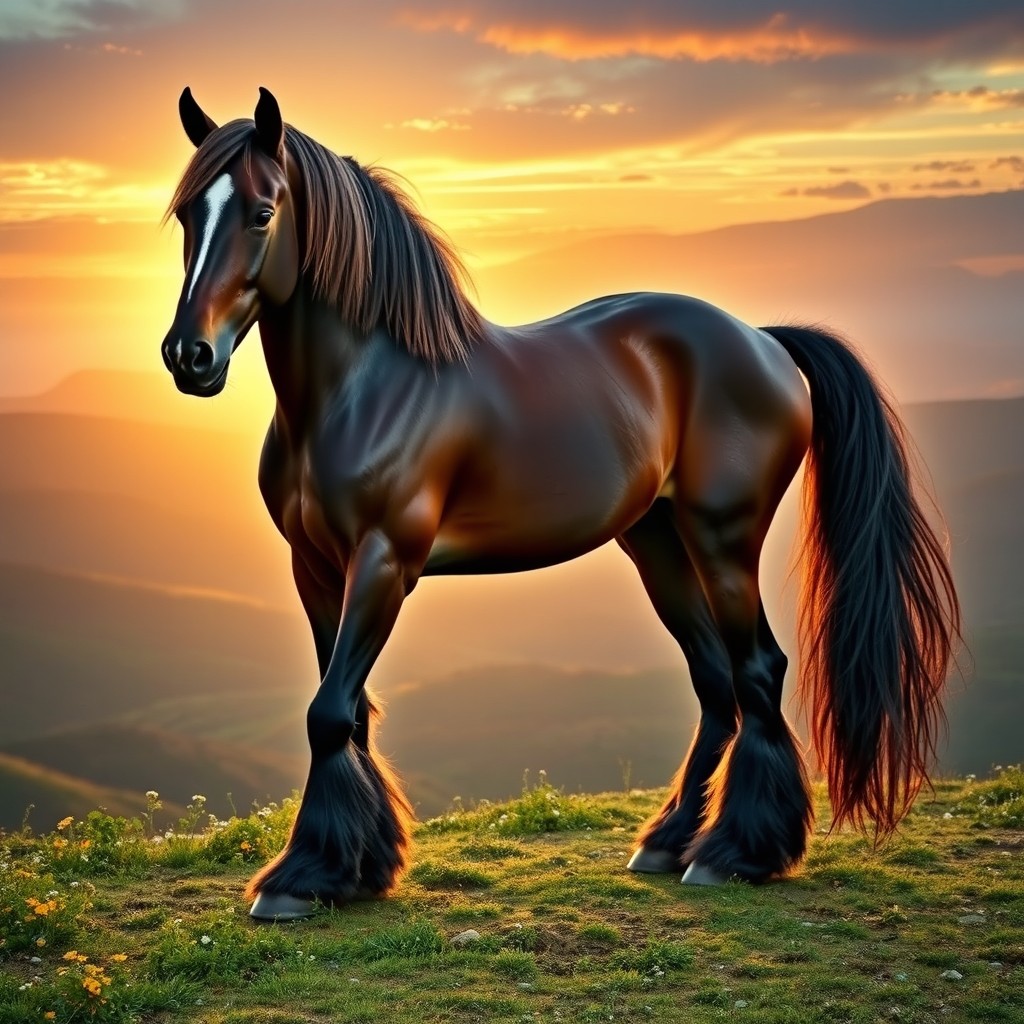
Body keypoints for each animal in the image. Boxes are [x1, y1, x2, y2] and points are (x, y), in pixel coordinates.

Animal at [160, 87, 960, 921]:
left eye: (262, 211)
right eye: (186, 214)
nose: (190, 356)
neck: (364, 389)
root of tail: (764, 342)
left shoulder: (383, 562)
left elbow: (329, 713)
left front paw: (299, 877)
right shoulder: (315, 566)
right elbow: (347, 712)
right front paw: (355, 867)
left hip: (723, 539)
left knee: (757, 672)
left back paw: (736, 854)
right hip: (657, 544)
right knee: (715, 682)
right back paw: (668, 842)